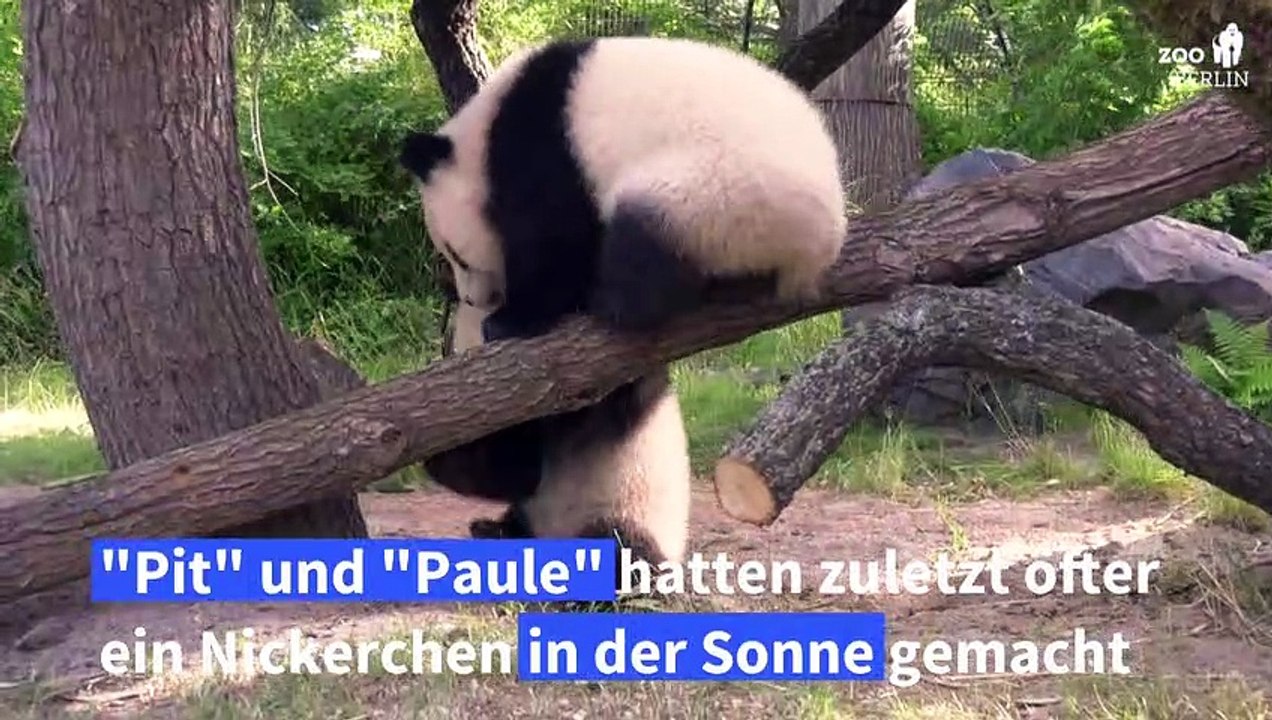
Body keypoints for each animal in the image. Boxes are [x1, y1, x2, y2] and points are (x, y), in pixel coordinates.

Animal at [401, 36, 846, 571]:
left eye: (456, 254)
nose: (475, 298)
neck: (485, 128)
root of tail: (823, 239)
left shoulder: (543, 145)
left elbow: (553, 236)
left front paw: (515, 321)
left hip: (720, 191)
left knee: (644, 238)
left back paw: (609, 302)